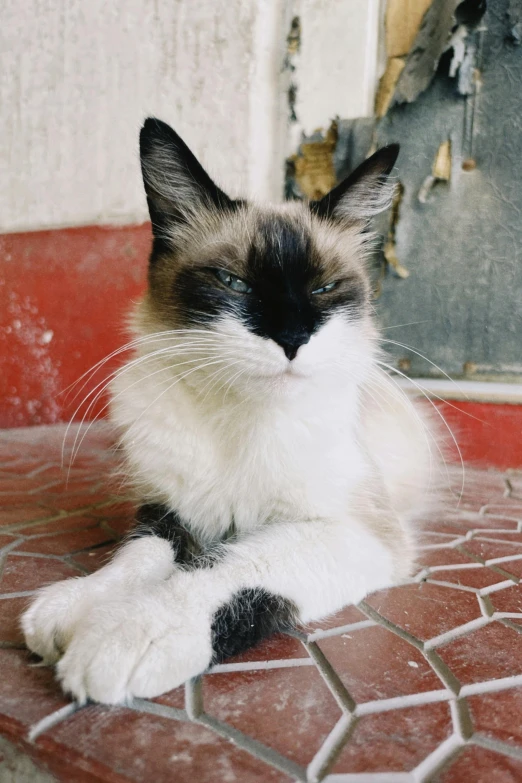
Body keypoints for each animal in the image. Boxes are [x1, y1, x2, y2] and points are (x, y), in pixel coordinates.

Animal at [22, 119, 440, 708]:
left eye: (324, 289)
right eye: (233, 283)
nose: (292, 338)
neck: (239, 423)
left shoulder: (357, 533)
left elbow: (227, 569)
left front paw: (125, 635)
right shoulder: (169, 512)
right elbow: (136, 558)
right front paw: (74, 609)